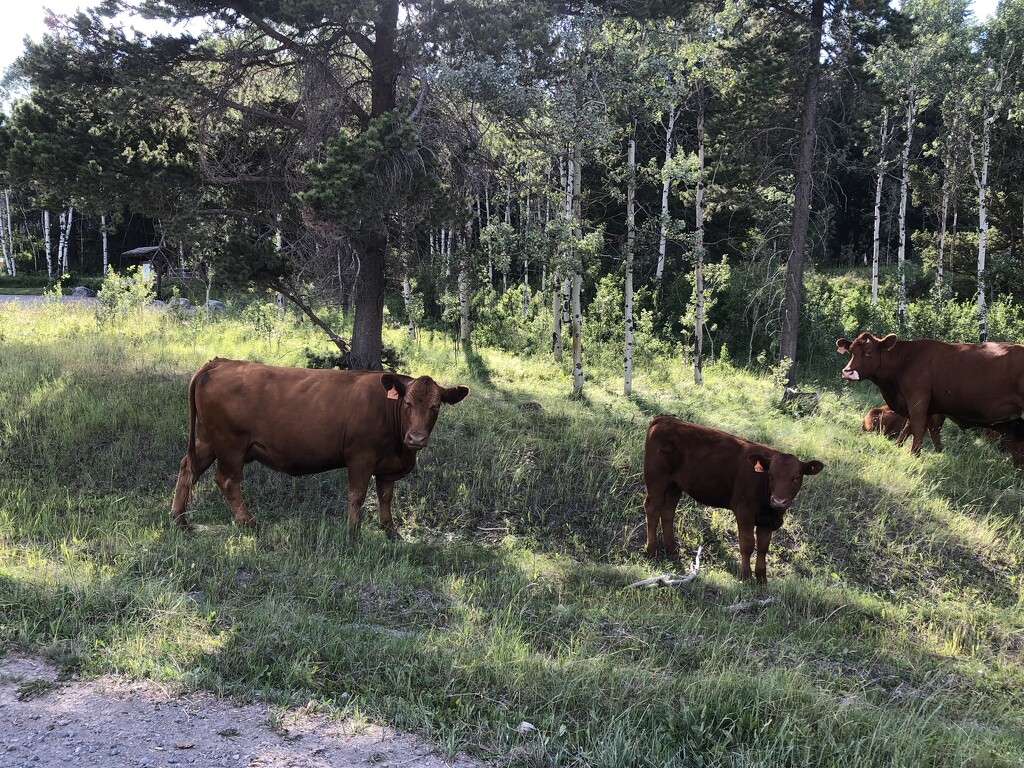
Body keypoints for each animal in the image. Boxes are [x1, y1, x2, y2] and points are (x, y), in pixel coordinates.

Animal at [171, 358, 468, 536]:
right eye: (407, 403)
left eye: (435, 406)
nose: (416, 438)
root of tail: (219, 363)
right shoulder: (361, 456)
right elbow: (357, 495)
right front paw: (353, 532)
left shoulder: (387, 465)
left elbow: (385, 497)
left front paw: (390, 531)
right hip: (230, 444)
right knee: (227, 481)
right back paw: (250, 523)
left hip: (207, 440)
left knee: (188, 469)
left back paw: (179, 519)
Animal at [638, 417, 823, 585]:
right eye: (771, 475)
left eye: (797, 477)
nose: (778, 501)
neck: (770, 509)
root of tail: (664, 419)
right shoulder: (744, 512)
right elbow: (748, 544)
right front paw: (746, 577)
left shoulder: (767, 521)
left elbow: (763, 547)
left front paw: (762, 579)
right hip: (656, 479)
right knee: (652, 508)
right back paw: (652, 551)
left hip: (675, 485)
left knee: (668, 511)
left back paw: (672, 549)